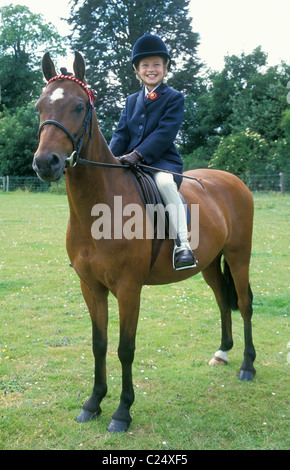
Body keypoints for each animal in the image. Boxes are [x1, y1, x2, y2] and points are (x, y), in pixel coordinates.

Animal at [32, 52, 255, 434]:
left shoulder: (128, 288)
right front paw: (93, 403)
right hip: (210, 263)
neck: (98, 208)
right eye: (40, 106)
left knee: (244, 302)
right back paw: (222, 353)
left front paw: (122, 411)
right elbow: (99, 344)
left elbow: (125, 348)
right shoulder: (90, 287)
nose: (46, 163)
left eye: (79, 106)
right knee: (223, 302)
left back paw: (247, 366)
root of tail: (232, 180)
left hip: (239, 257)